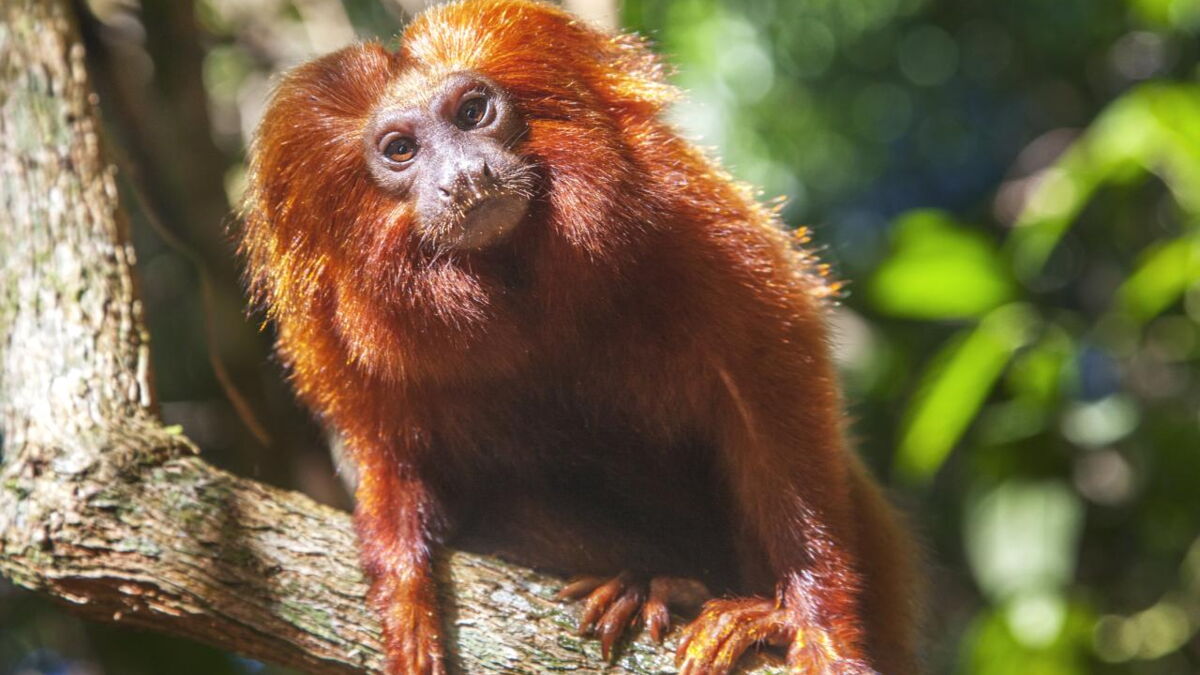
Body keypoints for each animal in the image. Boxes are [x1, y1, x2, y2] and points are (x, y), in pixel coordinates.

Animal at [239, 1, 920, 673]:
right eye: (401, 148)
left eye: (471, 113)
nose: (466, 175)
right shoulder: (345, 335)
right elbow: (393, 459)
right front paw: (403, 589)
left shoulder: (691, 223)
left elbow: (770, 390)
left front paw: (809, 622)